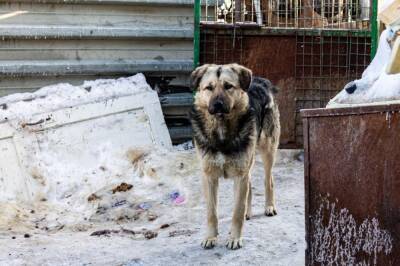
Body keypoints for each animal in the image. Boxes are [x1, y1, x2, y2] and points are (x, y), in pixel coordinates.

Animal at [189, 64, 280, 249]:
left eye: (228, 86)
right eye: (209, 88)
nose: (217, 104)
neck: (221, 130)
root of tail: (262, 81)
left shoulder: (240, 175)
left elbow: (237, 211)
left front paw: (235, 238)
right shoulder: (209, 176)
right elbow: (211, 212)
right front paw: (210, 237)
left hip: (267, 149)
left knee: (268, 180)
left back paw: (269, 206)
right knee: (250, 185)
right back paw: (249, 212)